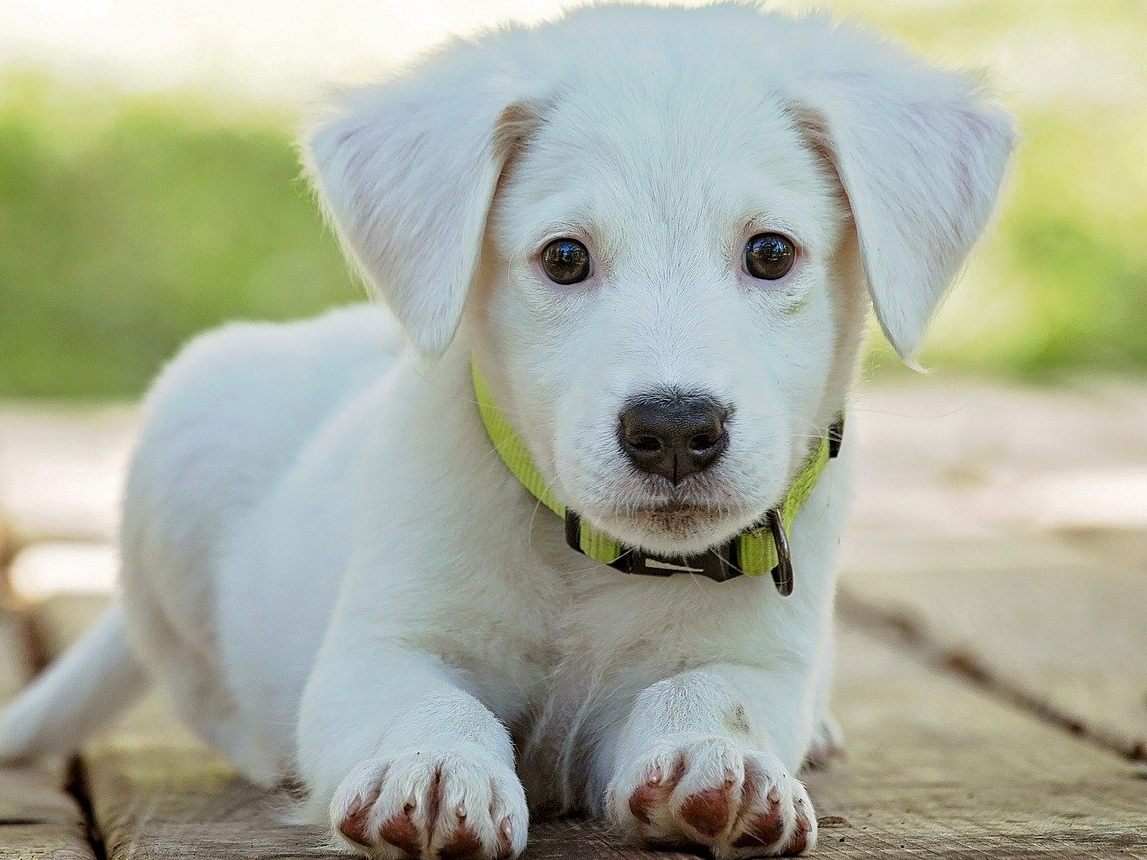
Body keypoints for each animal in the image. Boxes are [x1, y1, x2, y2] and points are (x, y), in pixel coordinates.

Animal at [0, 3, 1013, 857]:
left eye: (770, 253)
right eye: (563, 257)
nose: (673, 429)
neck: (589, 564)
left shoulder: (758, 660)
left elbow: (707, 691)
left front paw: (716, 762)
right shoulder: (379, 648)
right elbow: (430, 703)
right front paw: (433, 770)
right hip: (183, 443)